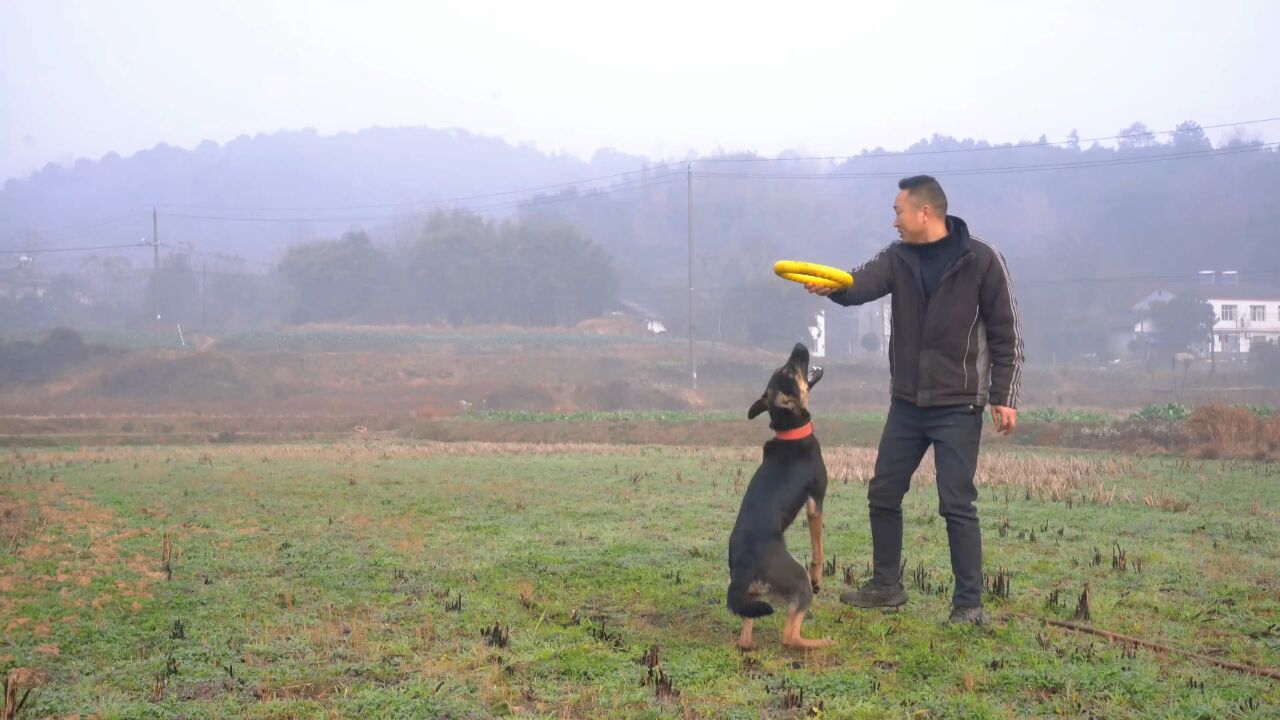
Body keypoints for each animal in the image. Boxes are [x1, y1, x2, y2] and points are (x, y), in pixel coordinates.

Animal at [727, 340, 834, 650]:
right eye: (789, 371)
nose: (799, 344)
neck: (790, 430)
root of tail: (744, 565)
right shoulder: (816, 502)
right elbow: (818, 549)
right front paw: (819, 577)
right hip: (796, 580)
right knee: (789, 637)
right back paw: (819, 643)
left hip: (751, 597)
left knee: (746, 635)